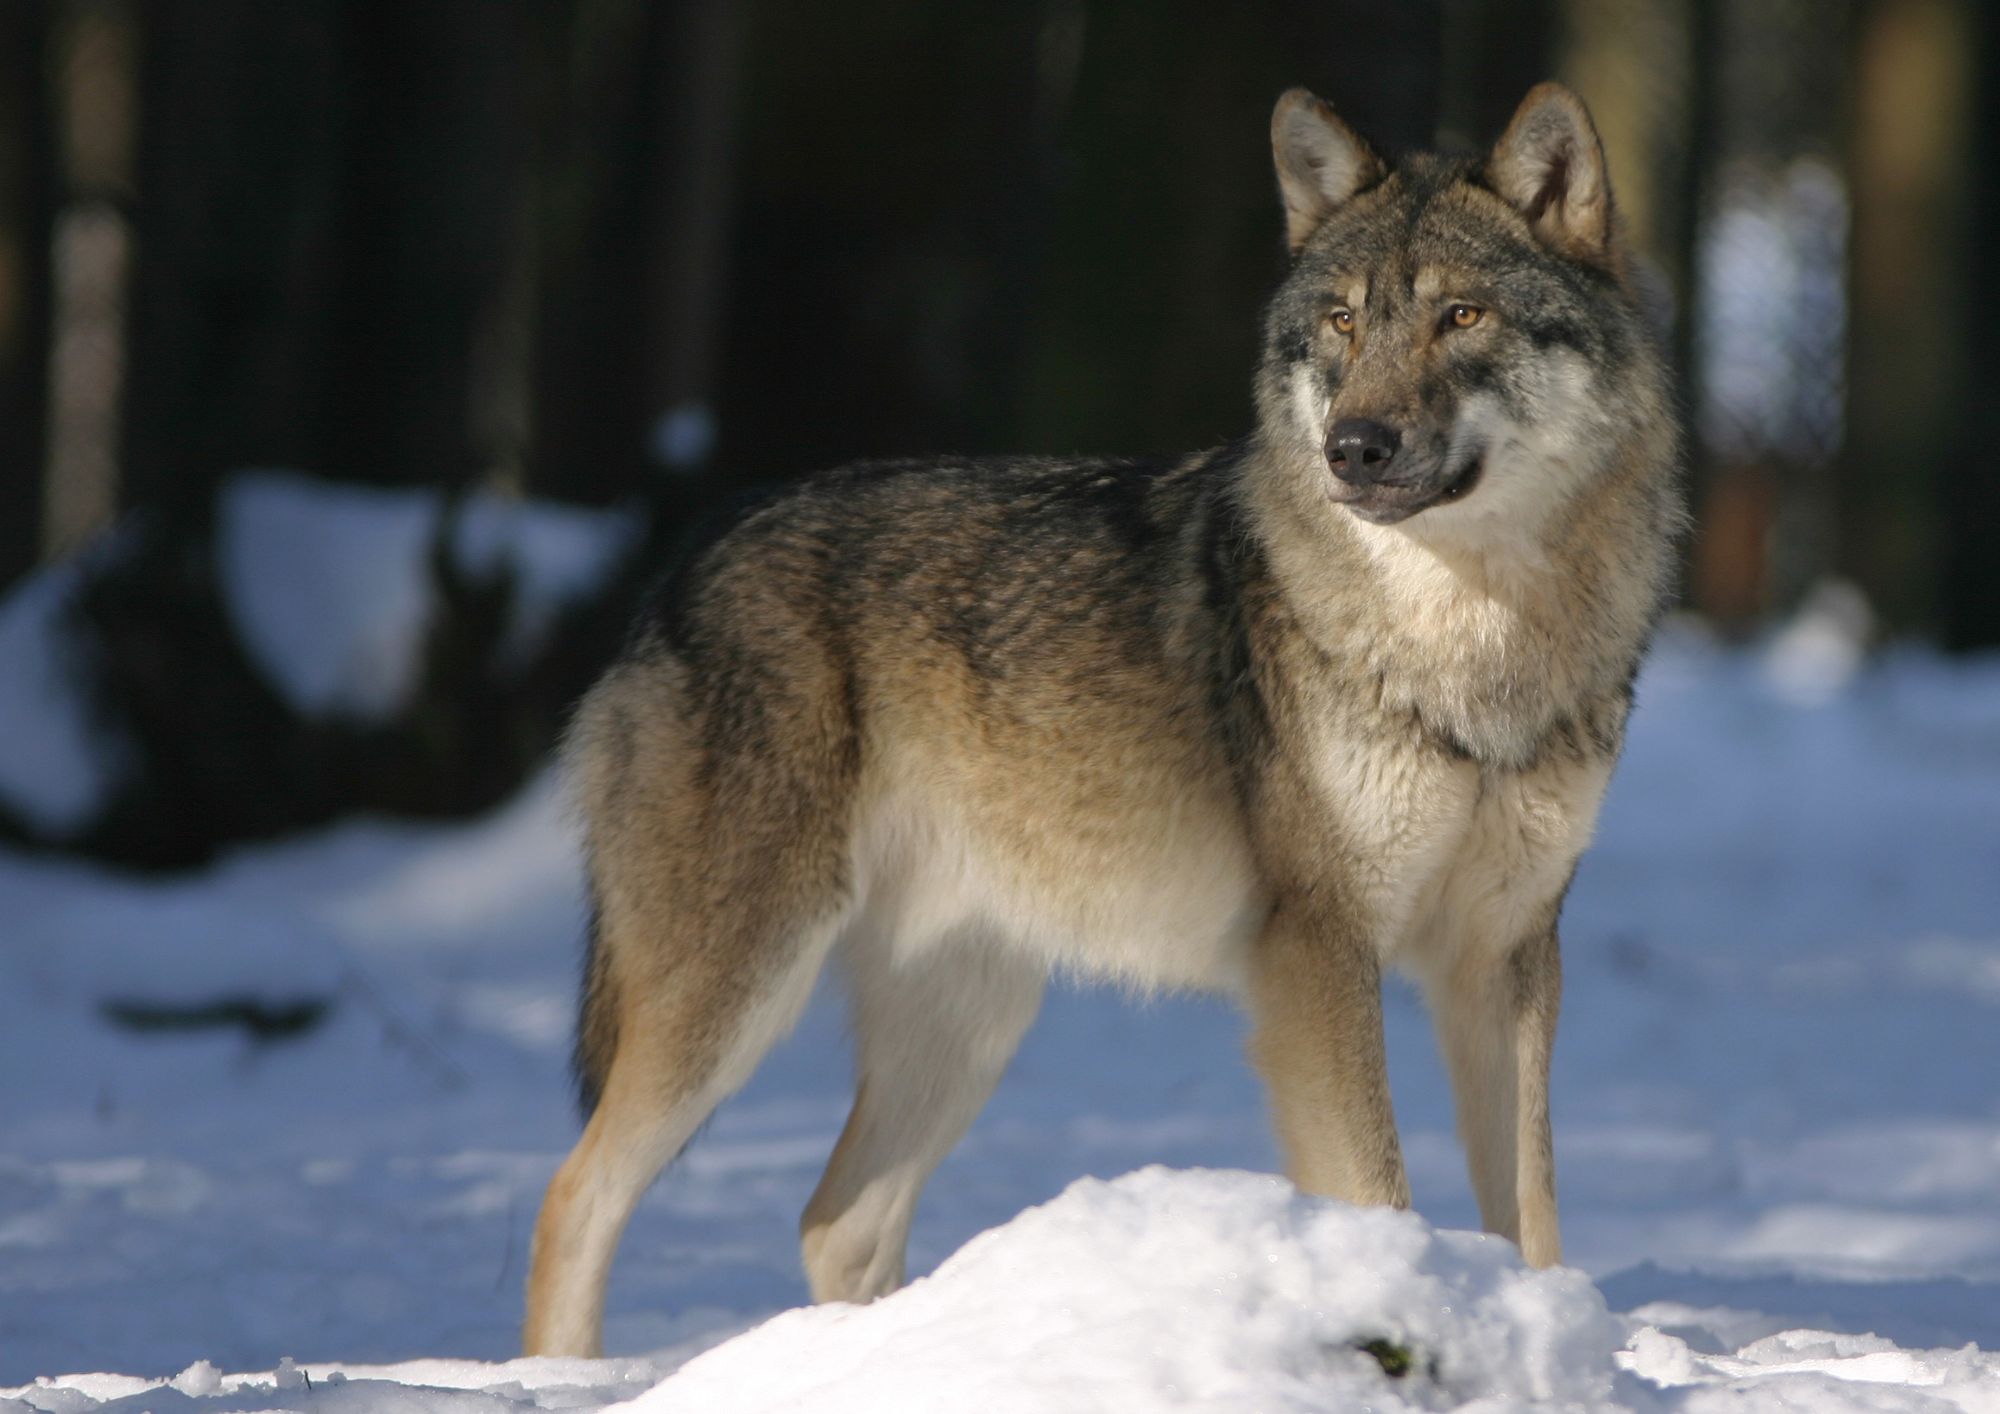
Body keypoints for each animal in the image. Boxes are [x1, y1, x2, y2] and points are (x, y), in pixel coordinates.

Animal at [524, 80, 1680, 1360]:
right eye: (1339, 324)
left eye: (1460, 315)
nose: (1352, 448)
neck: (1471, 644)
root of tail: (683, 561)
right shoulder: (1317, 950)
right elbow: (1378, 1187)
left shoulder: (1505, 956)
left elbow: (1531, 1214)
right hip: (736, 991)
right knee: (574, 1192)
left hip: (967, 1020)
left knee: (835, 1220)